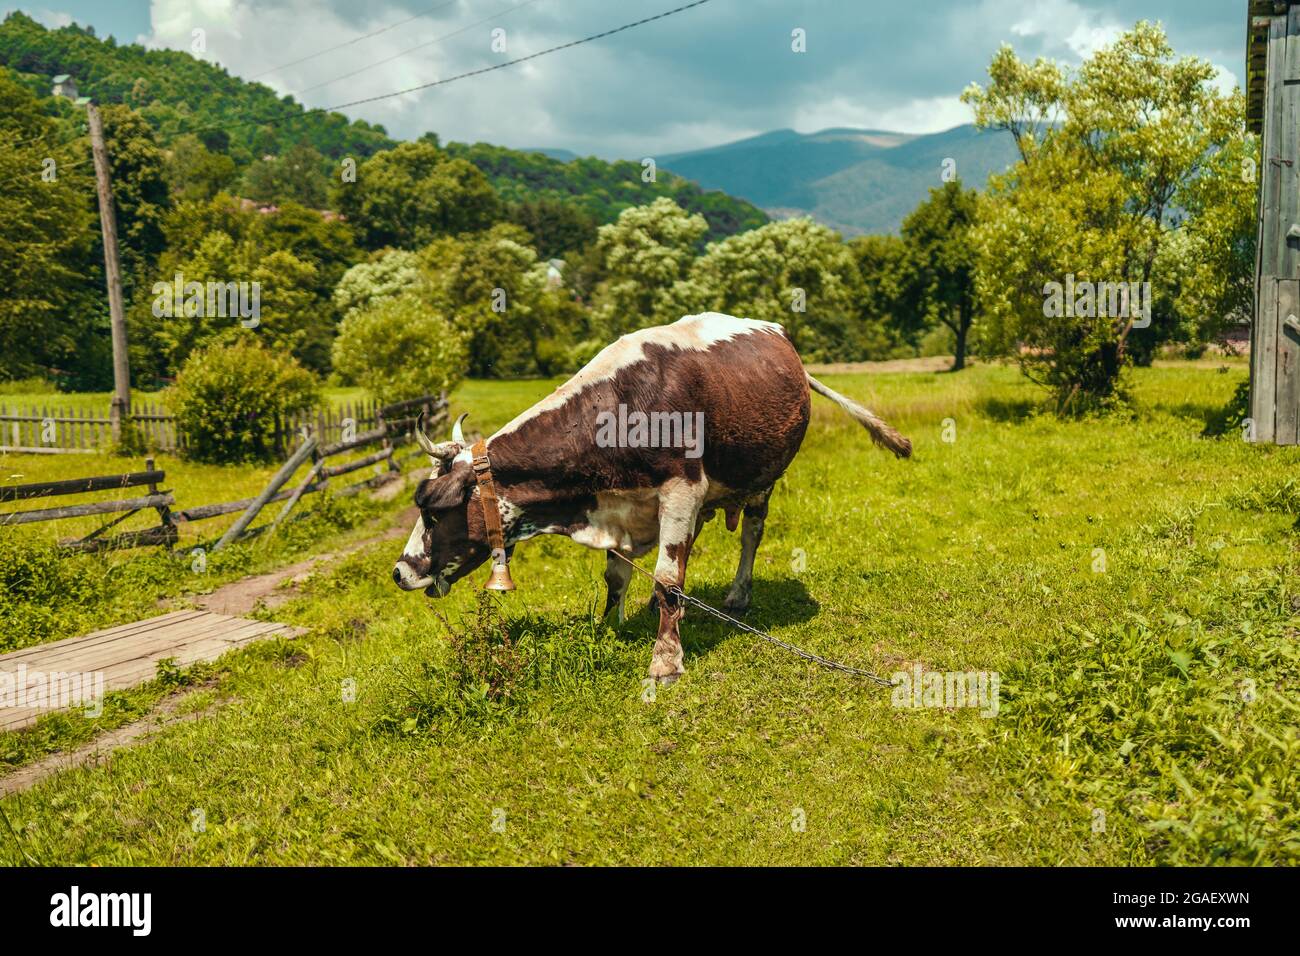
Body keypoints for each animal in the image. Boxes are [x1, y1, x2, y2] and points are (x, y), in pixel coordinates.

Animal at [393, 312, 910, 683]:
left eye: (432, 513)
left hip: (762, 479)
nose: (400, 572)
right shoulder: (619, 505)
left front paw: (665, 659)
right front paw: (610, 625)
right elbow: (618, 576)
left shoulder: (683, 488)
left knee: (750, 535)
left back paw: (738, 594)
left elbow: (666, 579)